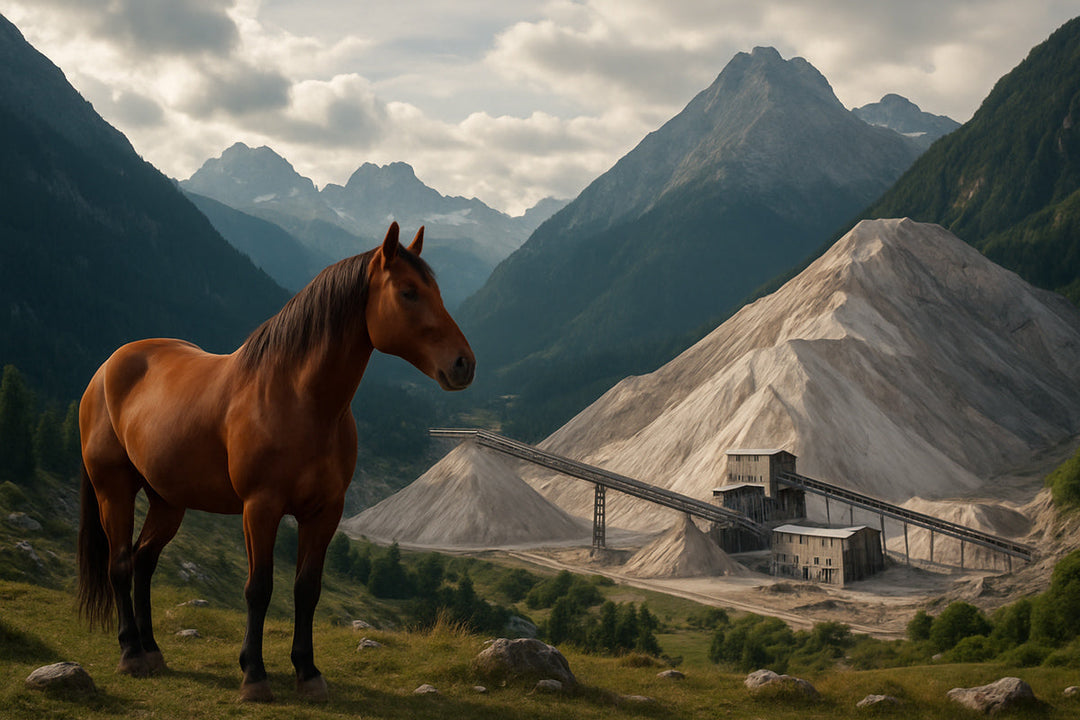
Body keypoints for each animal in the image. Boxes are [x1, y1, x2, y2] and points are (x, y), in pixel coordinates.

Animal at [77, 222, 474, 702]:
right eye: (409, 292)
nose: (464, 364)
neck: (300, 401)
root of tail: (107, 367)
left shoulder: (325, 512)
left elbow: (307, 589)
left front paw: (308, 672)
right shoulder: (260, 508)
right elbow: (259, 589)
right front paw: (254, 675)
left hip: (167, 501)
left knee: (143, 562)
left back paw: (152, 650)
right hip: (113, 490)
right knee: (119, 564)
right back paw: (132, 653)